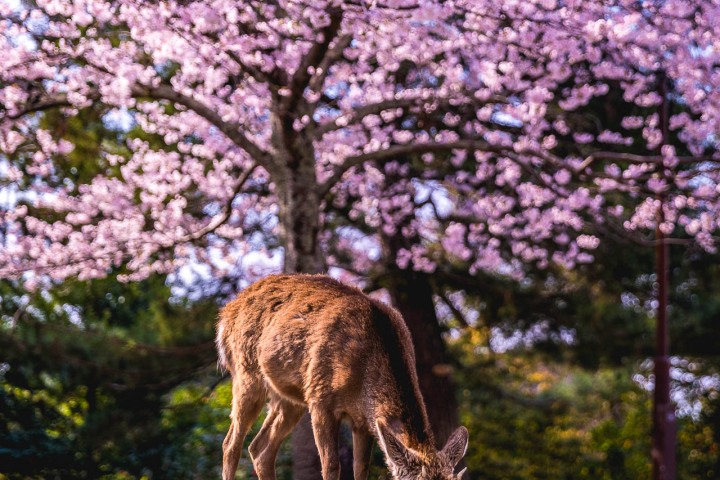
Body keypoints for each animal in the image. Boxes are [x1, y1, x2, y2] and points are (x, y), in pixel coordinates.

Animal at [216, 273, 469, 480]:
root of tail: (225, 315)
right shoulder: (320, 399)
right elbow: (331, 466)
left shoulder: (365, 420)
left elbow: (361, 469)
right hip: (246, 373)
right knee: (230, 444)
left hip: (289, 397)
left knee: (260, 449)